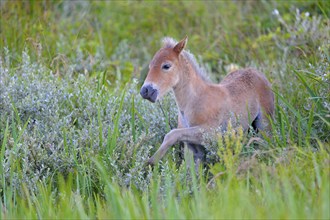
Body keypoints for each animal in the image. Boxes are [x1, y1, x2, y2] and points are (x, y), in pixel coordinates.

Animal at [141, 37, 274, 166]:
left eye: (166, 66)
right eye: (150, 66)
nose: (145, 91)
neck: (195, 101)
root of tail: (258, 73)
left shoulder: (210, 132)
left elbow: (171, 134)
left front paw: (151, 161)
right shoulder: (194, 149)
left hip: (264, 125)